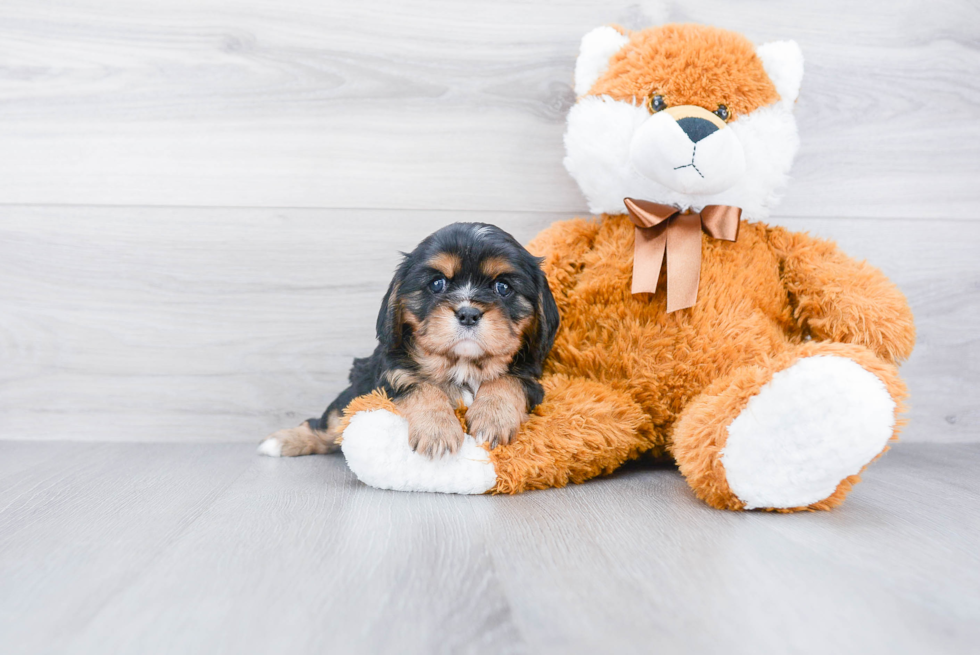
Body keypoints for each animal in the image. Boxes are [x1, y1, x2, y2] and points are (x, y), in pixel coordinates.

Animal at [260, 226, 560, 462]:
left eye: (503, 287)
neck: (462, 364)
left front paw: (493, 418)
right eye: (437, 283)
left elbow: (507, 381)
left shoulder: (531, 379)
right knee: (327, 426)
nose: (468, 313)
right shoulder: (391, 373)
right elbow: (421, 386)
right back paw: (281, 441)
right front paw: (437, 431)